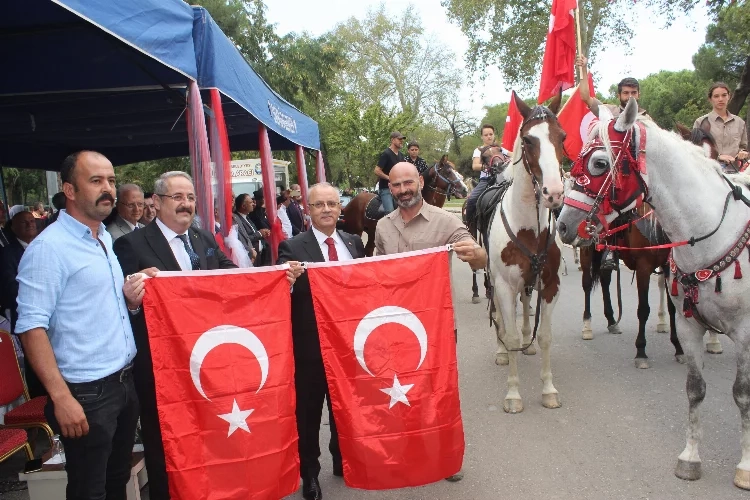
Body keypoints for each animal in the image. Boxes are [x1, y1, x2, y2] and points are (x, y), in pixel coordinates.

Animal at [560, 96, 750, 488]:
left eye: (600, 162)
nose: (563, 223)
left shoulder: (741, 329)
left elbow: (740, 394)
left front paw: (743, 466)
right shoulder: (657, 278)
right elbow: (693, 384)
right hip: (590, 252)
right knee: (591, 284)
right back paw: (591, 324)